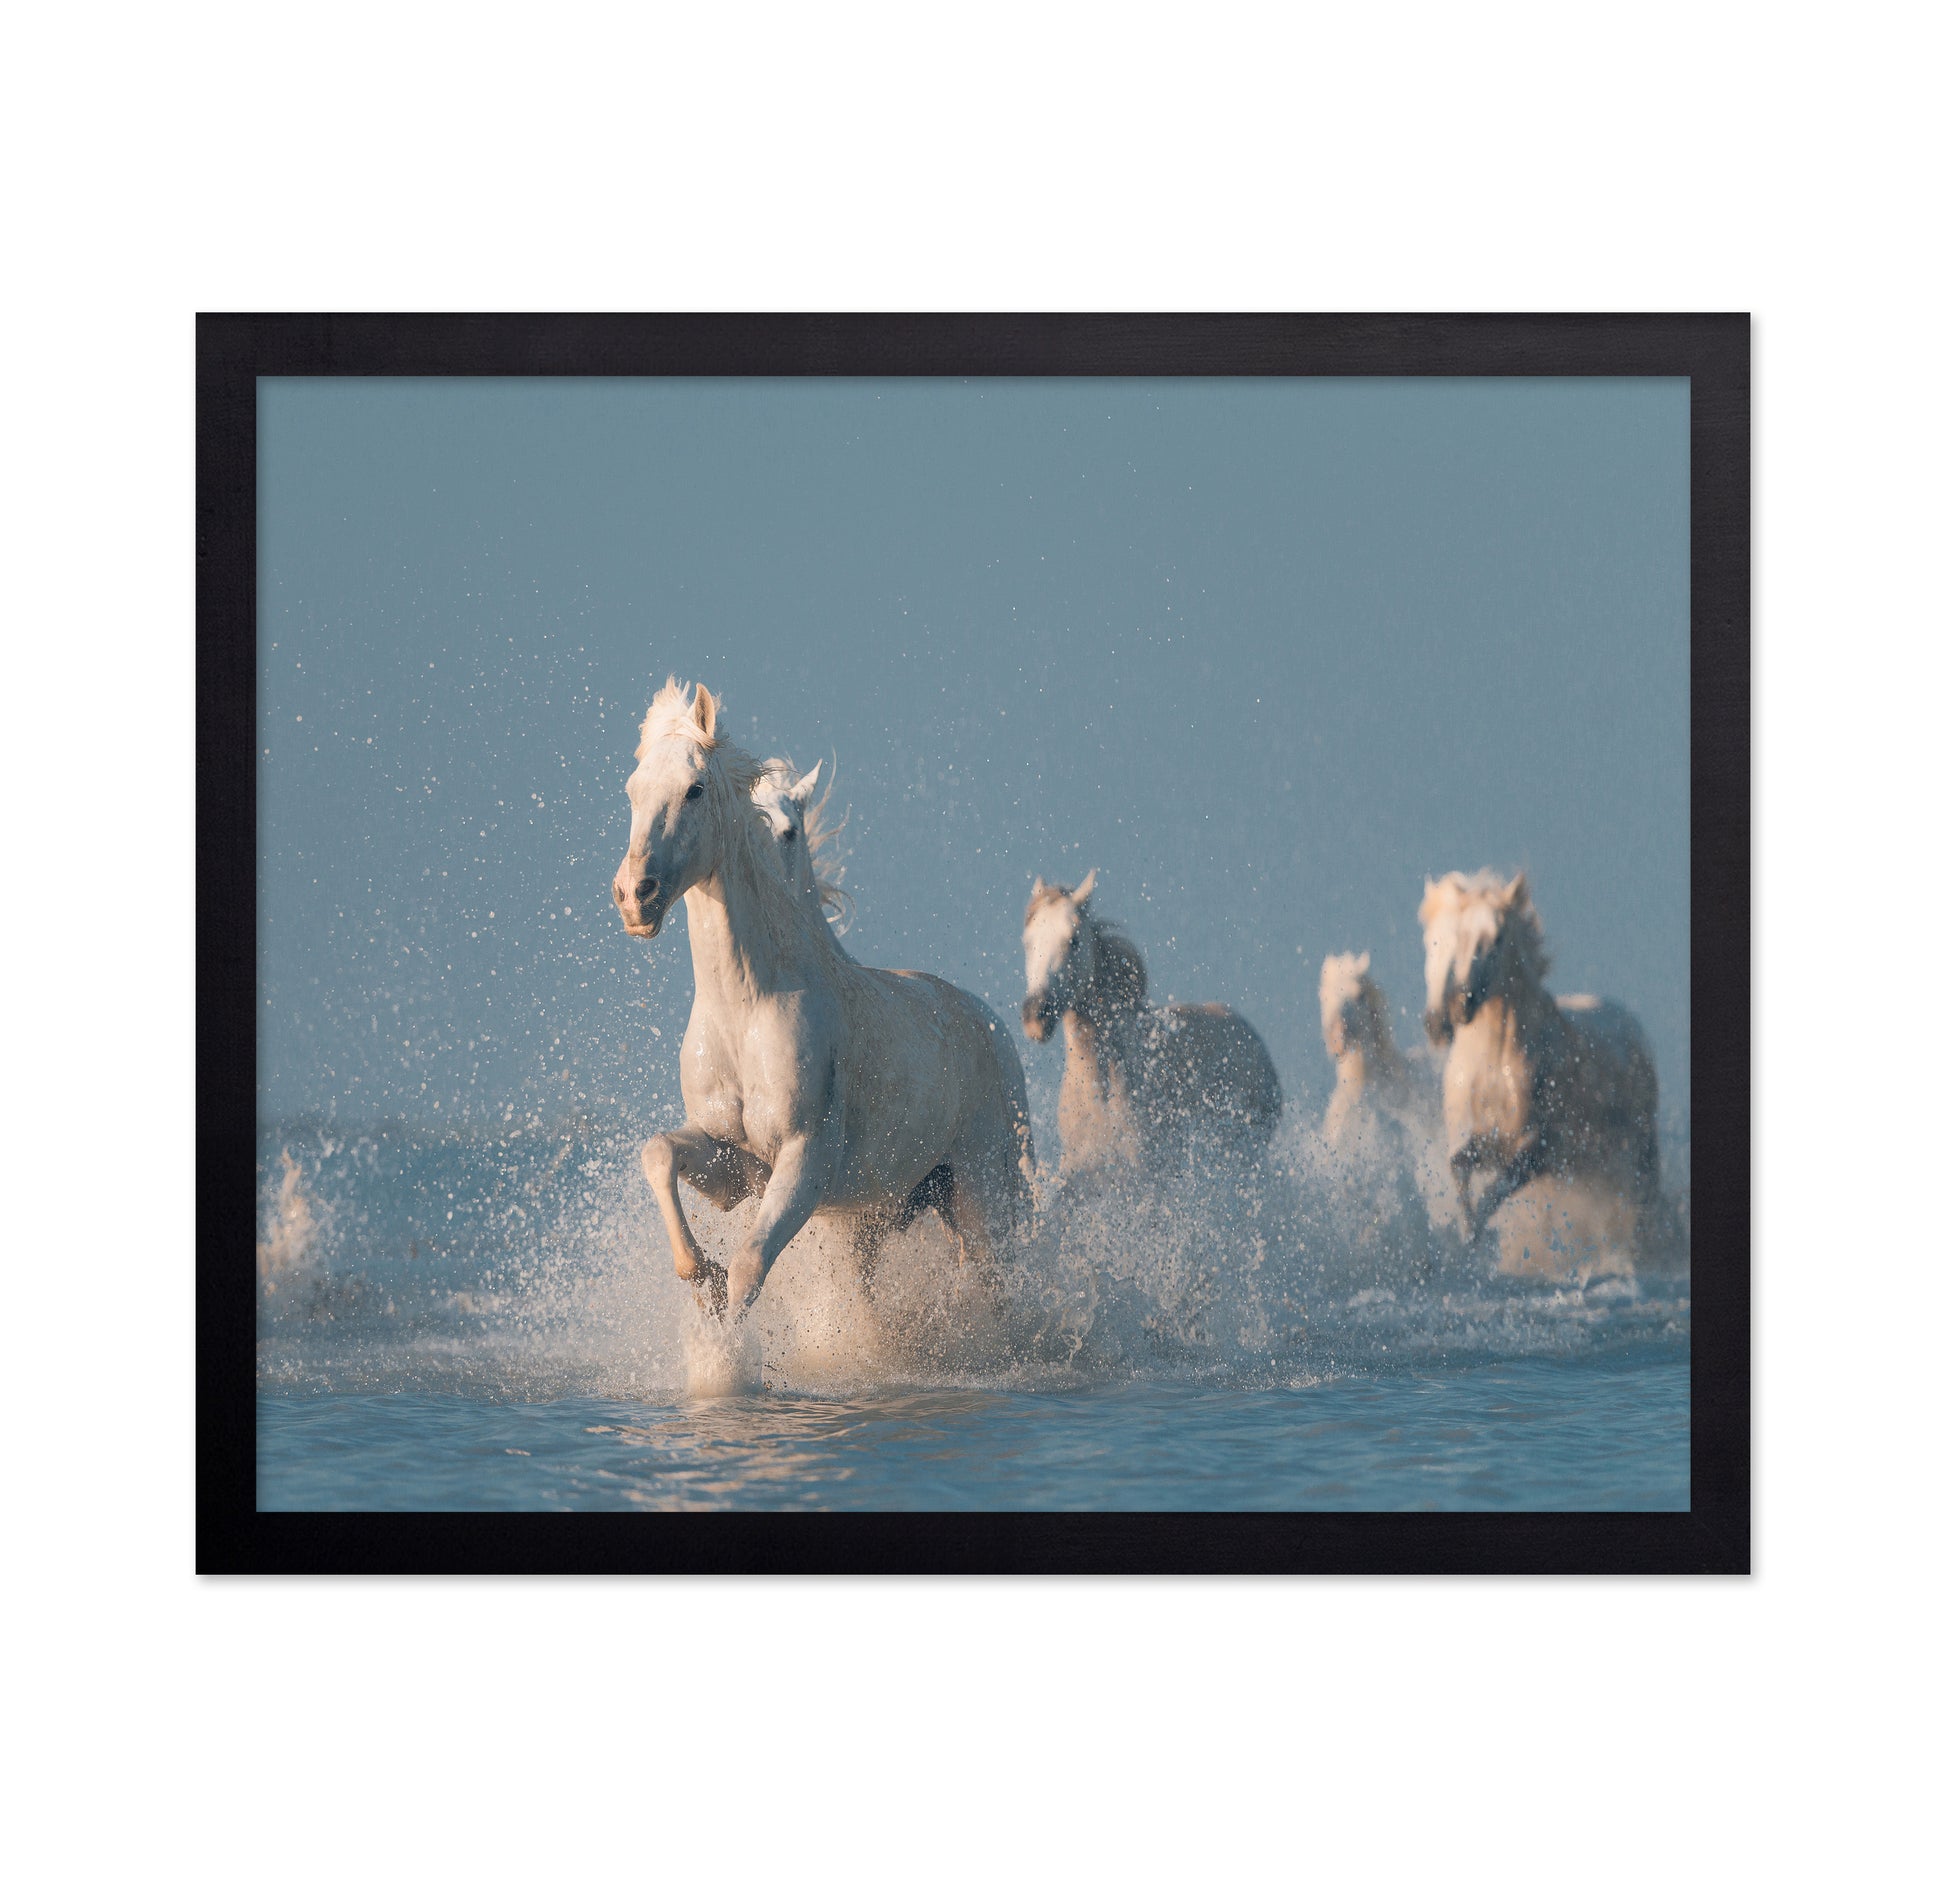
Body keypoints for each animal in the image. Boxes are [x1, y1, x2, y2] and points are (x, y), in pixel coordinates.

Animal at [613, 679, 1034, 1320]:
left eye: (694, 789)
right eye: (633, 790)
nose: (635, 896)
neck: (747, 1009)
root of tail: (990, 1023)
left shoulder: (804, 1163)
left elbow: (750, 1266)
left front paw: (725, 1330)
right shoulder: (736, 1164)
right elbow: (658, 1152)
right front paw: (700, 1274)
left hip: (985, 1197)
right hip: (885, 1214)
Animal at [1419, 869, 1661, 1247]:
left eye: (1497, 938)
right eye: (1434, 940)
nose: (1449, 1014)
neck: (1492, 1065)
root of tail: (1630, 1023)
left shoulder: (1535, 1152)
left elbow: (1495, 1191)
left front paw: (1477, 1237)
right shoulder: (1478, 1141)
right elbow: (1459, 1168)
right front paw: (1467, 1234)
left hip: (1638, 1155)